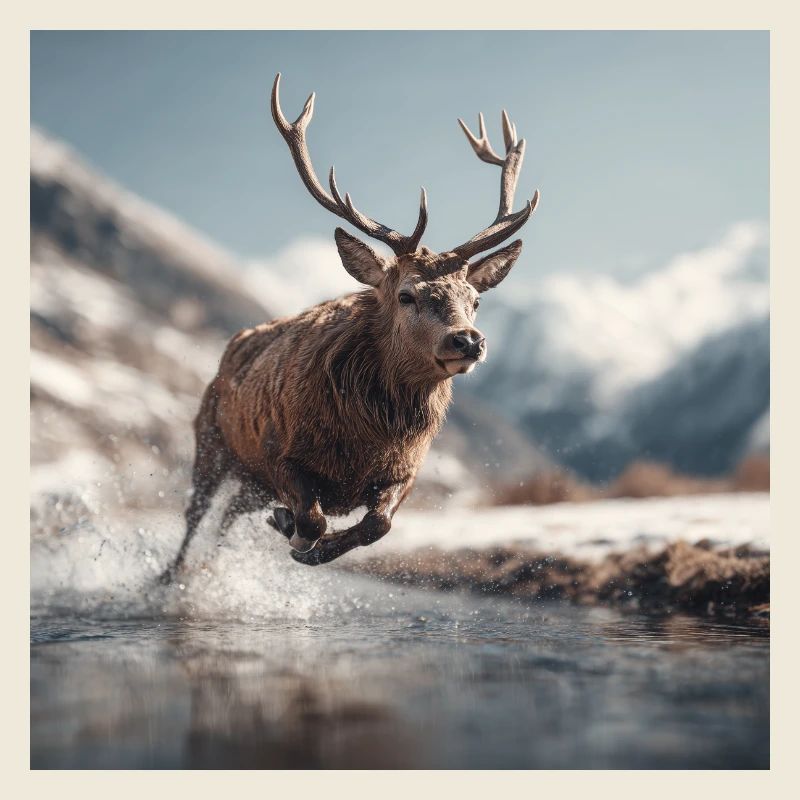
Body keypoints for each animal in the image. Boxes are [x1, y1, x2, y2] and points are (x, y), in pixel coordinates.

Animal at [160, 73, 539, 581]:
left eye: (475, 301)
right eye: (406, 295)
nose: (468, 341)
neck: (365, 443)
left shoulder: (405, 473)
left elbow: (377, 525)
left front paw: (308, 544)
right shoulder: (279, 452)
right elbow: (313, 518)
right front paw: (296, 533)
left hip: (248, 481)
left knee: (226, 518)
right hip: (212, 441)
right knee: (195, 514)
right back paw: (170, 578)